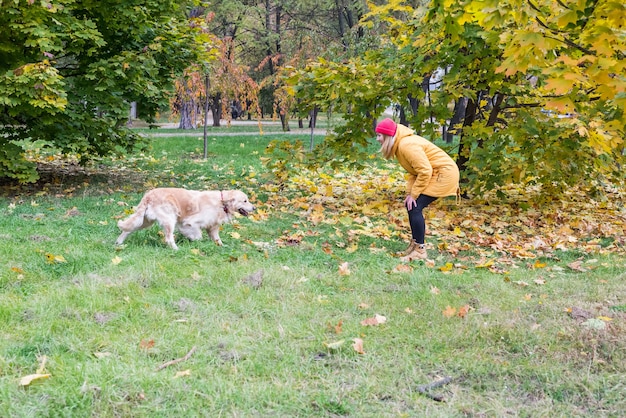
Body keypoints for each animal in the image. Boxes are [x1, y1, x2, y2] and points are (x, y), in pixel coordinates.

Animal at [114, 188, 254, 250]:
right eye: (245, 201)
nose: (254, 207)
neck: (221, 202)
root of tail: (149, 195)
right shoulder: (189, 223)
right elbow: (197, 235)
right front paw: (193, 240)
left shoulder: (212, 227)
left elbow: (217, 240)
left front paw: (223, 246)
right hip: (169, 219)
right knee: (168, 238)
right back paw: (176, 249)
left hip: (144, 221)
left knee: (127, 229)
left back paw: (118, 243)